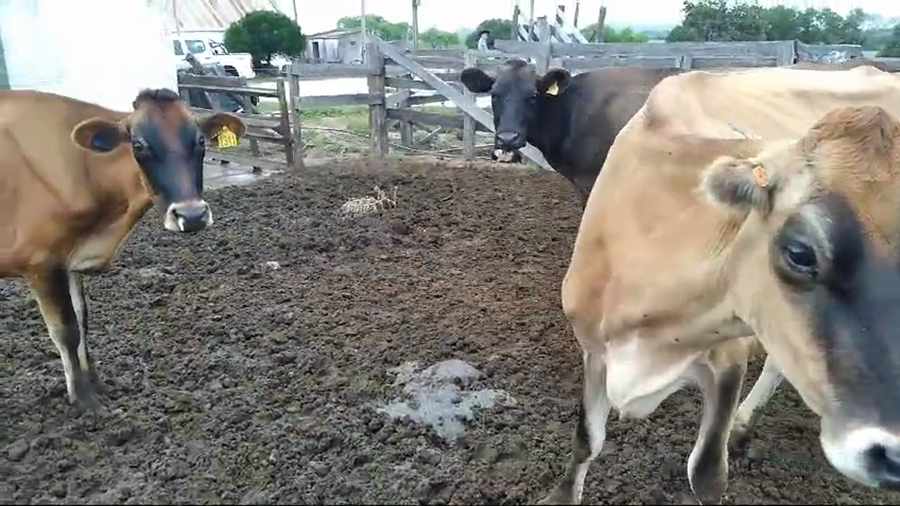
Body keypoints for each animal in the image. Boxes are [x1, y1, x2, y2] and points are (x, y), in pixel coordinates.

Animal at [0, 88, 246, 412]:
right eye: (138, 145)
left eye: (201, 141)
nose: (192, 215)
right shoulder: (41, 262)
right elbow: (66, 331)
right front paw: (84, 400)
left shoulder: (69, 259)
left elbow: (82, 320)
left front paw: (95, 385)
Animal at [536, 65, 900, 505]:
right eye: (800, 252)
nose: (891, 455)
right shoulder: (593, 346)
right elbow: (586, 439)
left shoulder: (730, 356)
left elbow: (707, 473)